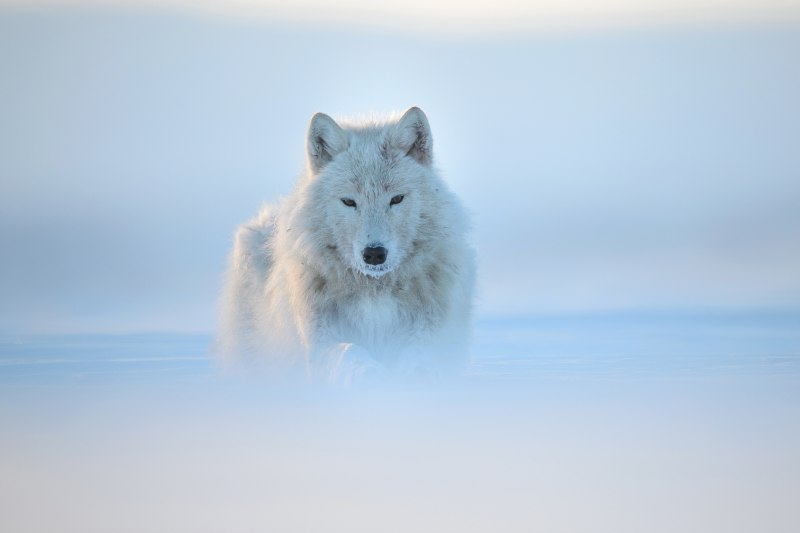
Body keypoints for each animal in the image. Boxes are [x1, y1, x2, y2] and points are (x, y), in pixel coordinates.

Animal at [217, 107, 475, 382]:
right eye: (349, 202)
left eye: (396, 199)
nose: (374, 254)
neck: (375, 291)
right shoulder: (319, 339)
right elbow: (349, 351)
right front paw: (368, 375)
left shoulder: (432, 332)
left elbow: (419, 354)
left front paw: (415, 375)